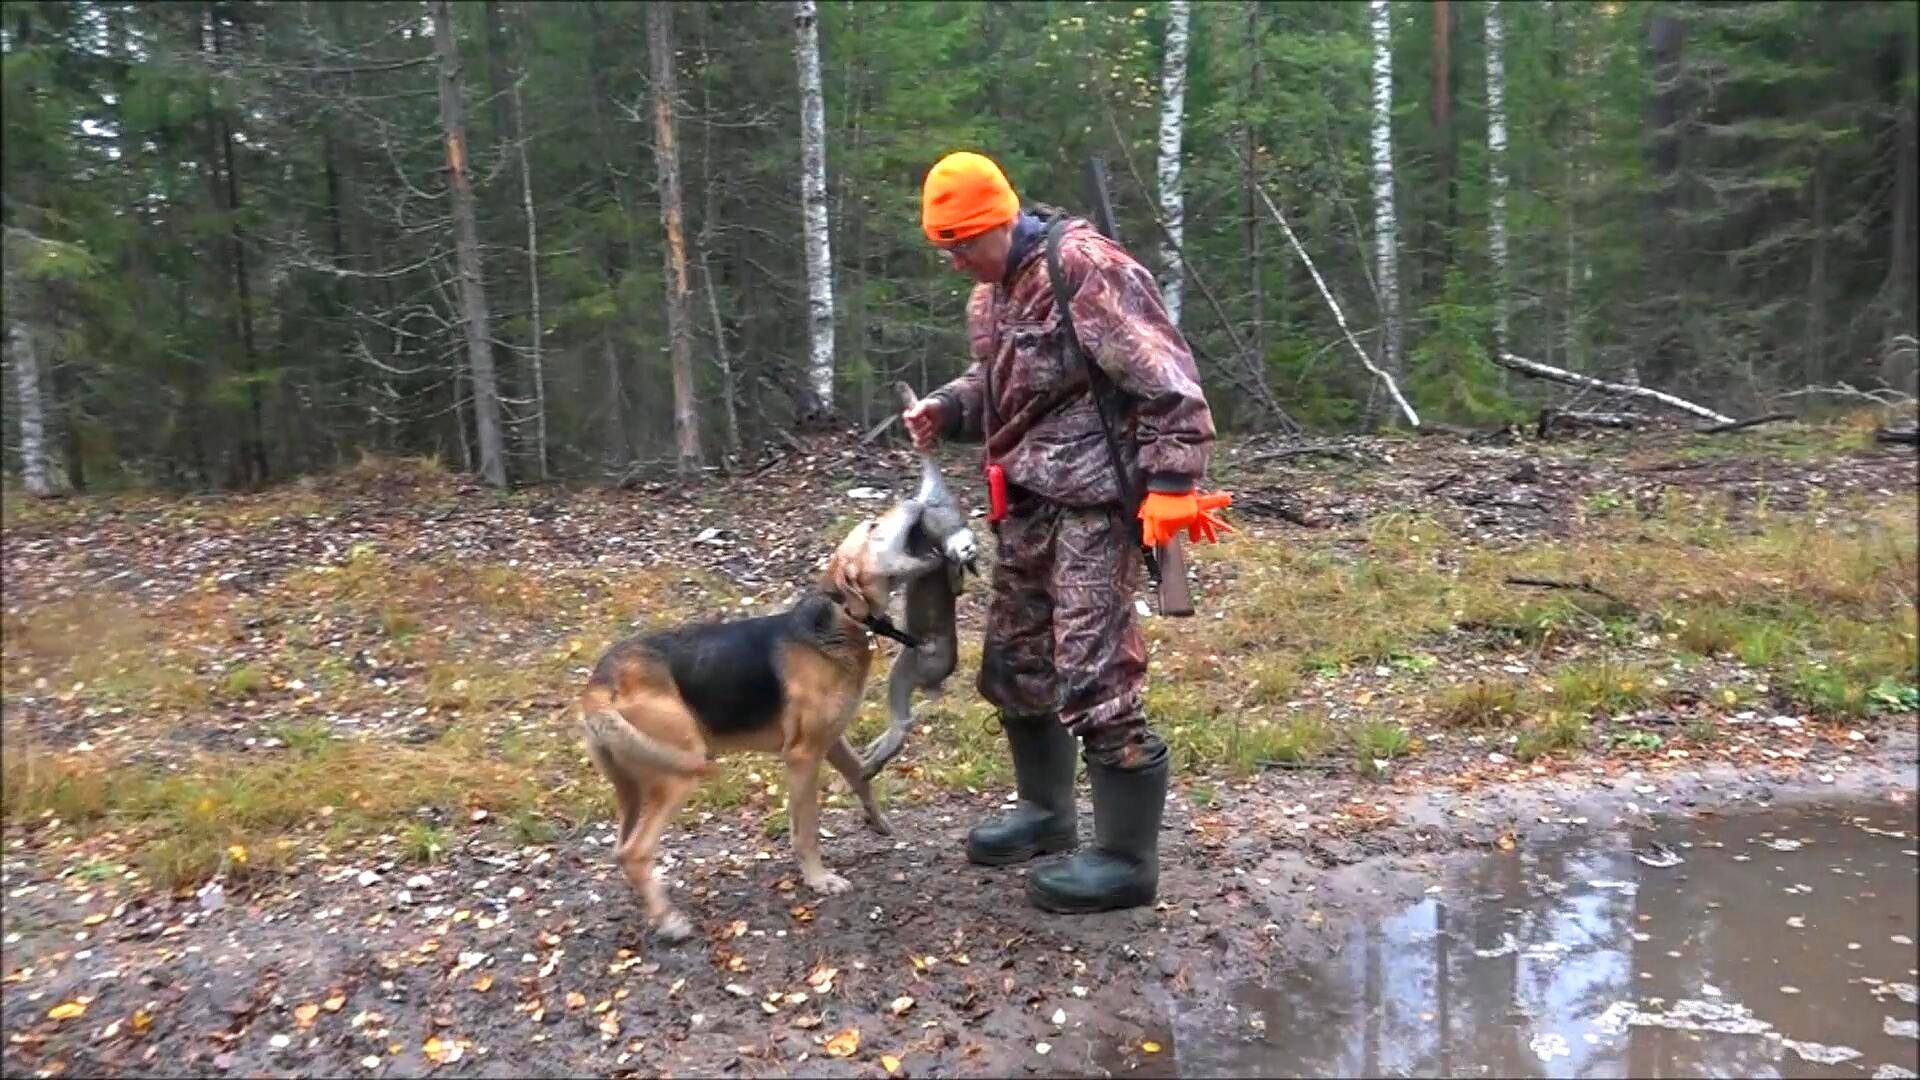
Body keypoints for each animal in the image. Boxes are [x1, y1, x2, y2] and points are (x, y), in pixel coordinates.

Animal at [576, 499, 952, 937]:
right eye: (874, 526)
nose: (915, 502)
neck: (840, 617)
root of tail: (600, 682)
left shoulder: (831, 740)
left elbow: (860, 777)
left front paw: (878, 822)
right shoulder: (803, 756)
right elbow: (807, 829)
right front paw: (818, 879)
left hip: (632, 785)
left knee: (622, 849)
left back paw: (650, 906)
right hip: (677, 774)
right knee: (635, 852)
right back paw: (669, 921)